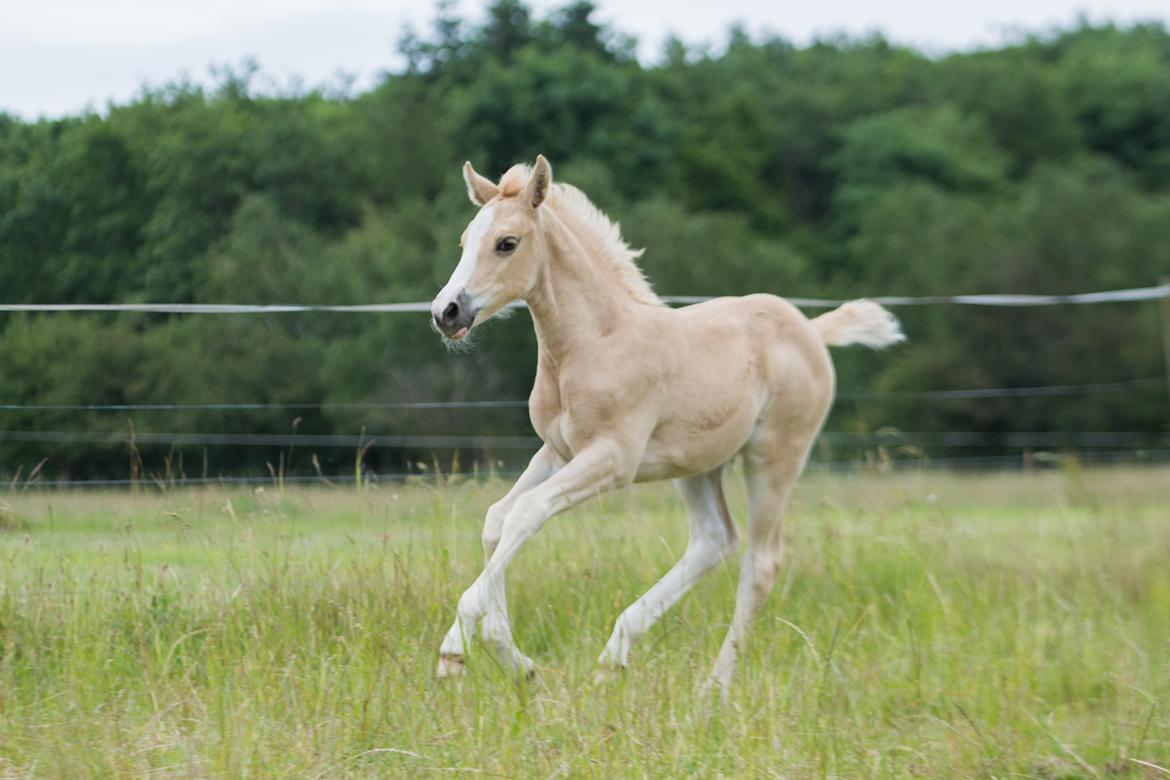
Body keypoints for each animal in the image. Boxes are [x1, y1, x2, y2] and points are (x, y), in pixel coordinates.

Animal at [430, 155, 903, 692]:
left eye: (507, 243)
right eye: (465, 241)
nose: (446, 312)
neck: (592, 343)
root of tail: (811, 330)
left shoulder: (613, 458)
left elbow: (527, 512)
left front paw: (454, 651)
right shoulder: (557, 451)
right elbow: (498, 519)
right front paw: (515, 659)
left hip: (774, 456)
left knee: (760, 563)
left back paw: (713, 687)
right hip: (698, 465)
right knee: (714, 539)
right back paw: (613, 656)